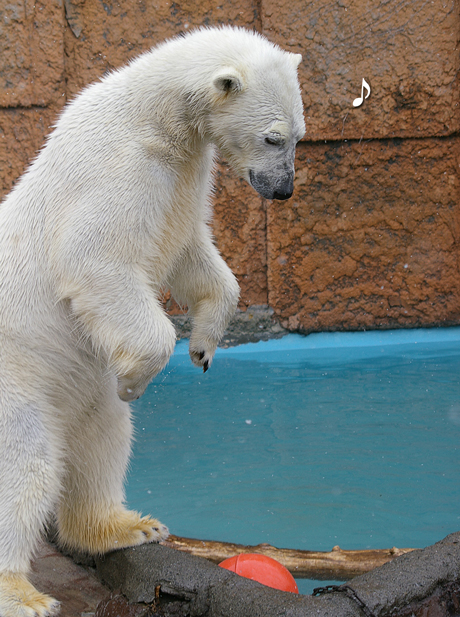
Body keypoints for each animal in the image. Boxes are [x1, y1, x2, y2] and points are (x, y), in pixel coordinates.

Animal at [0, 26, 306, 612]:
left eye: (300, 135)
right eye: (274, 138)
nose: (283, 189)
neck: (153, 116)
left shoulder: (185, 174)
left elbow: (192, 252)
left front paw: (205, 346)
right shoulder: (118, 169)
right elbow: (95, 259)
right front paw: (135, 377)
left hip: (74, 389)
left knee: (102, 438)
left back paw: (124, 526)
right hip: (17, 379)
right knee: (25, 463)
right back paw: (22, 593)